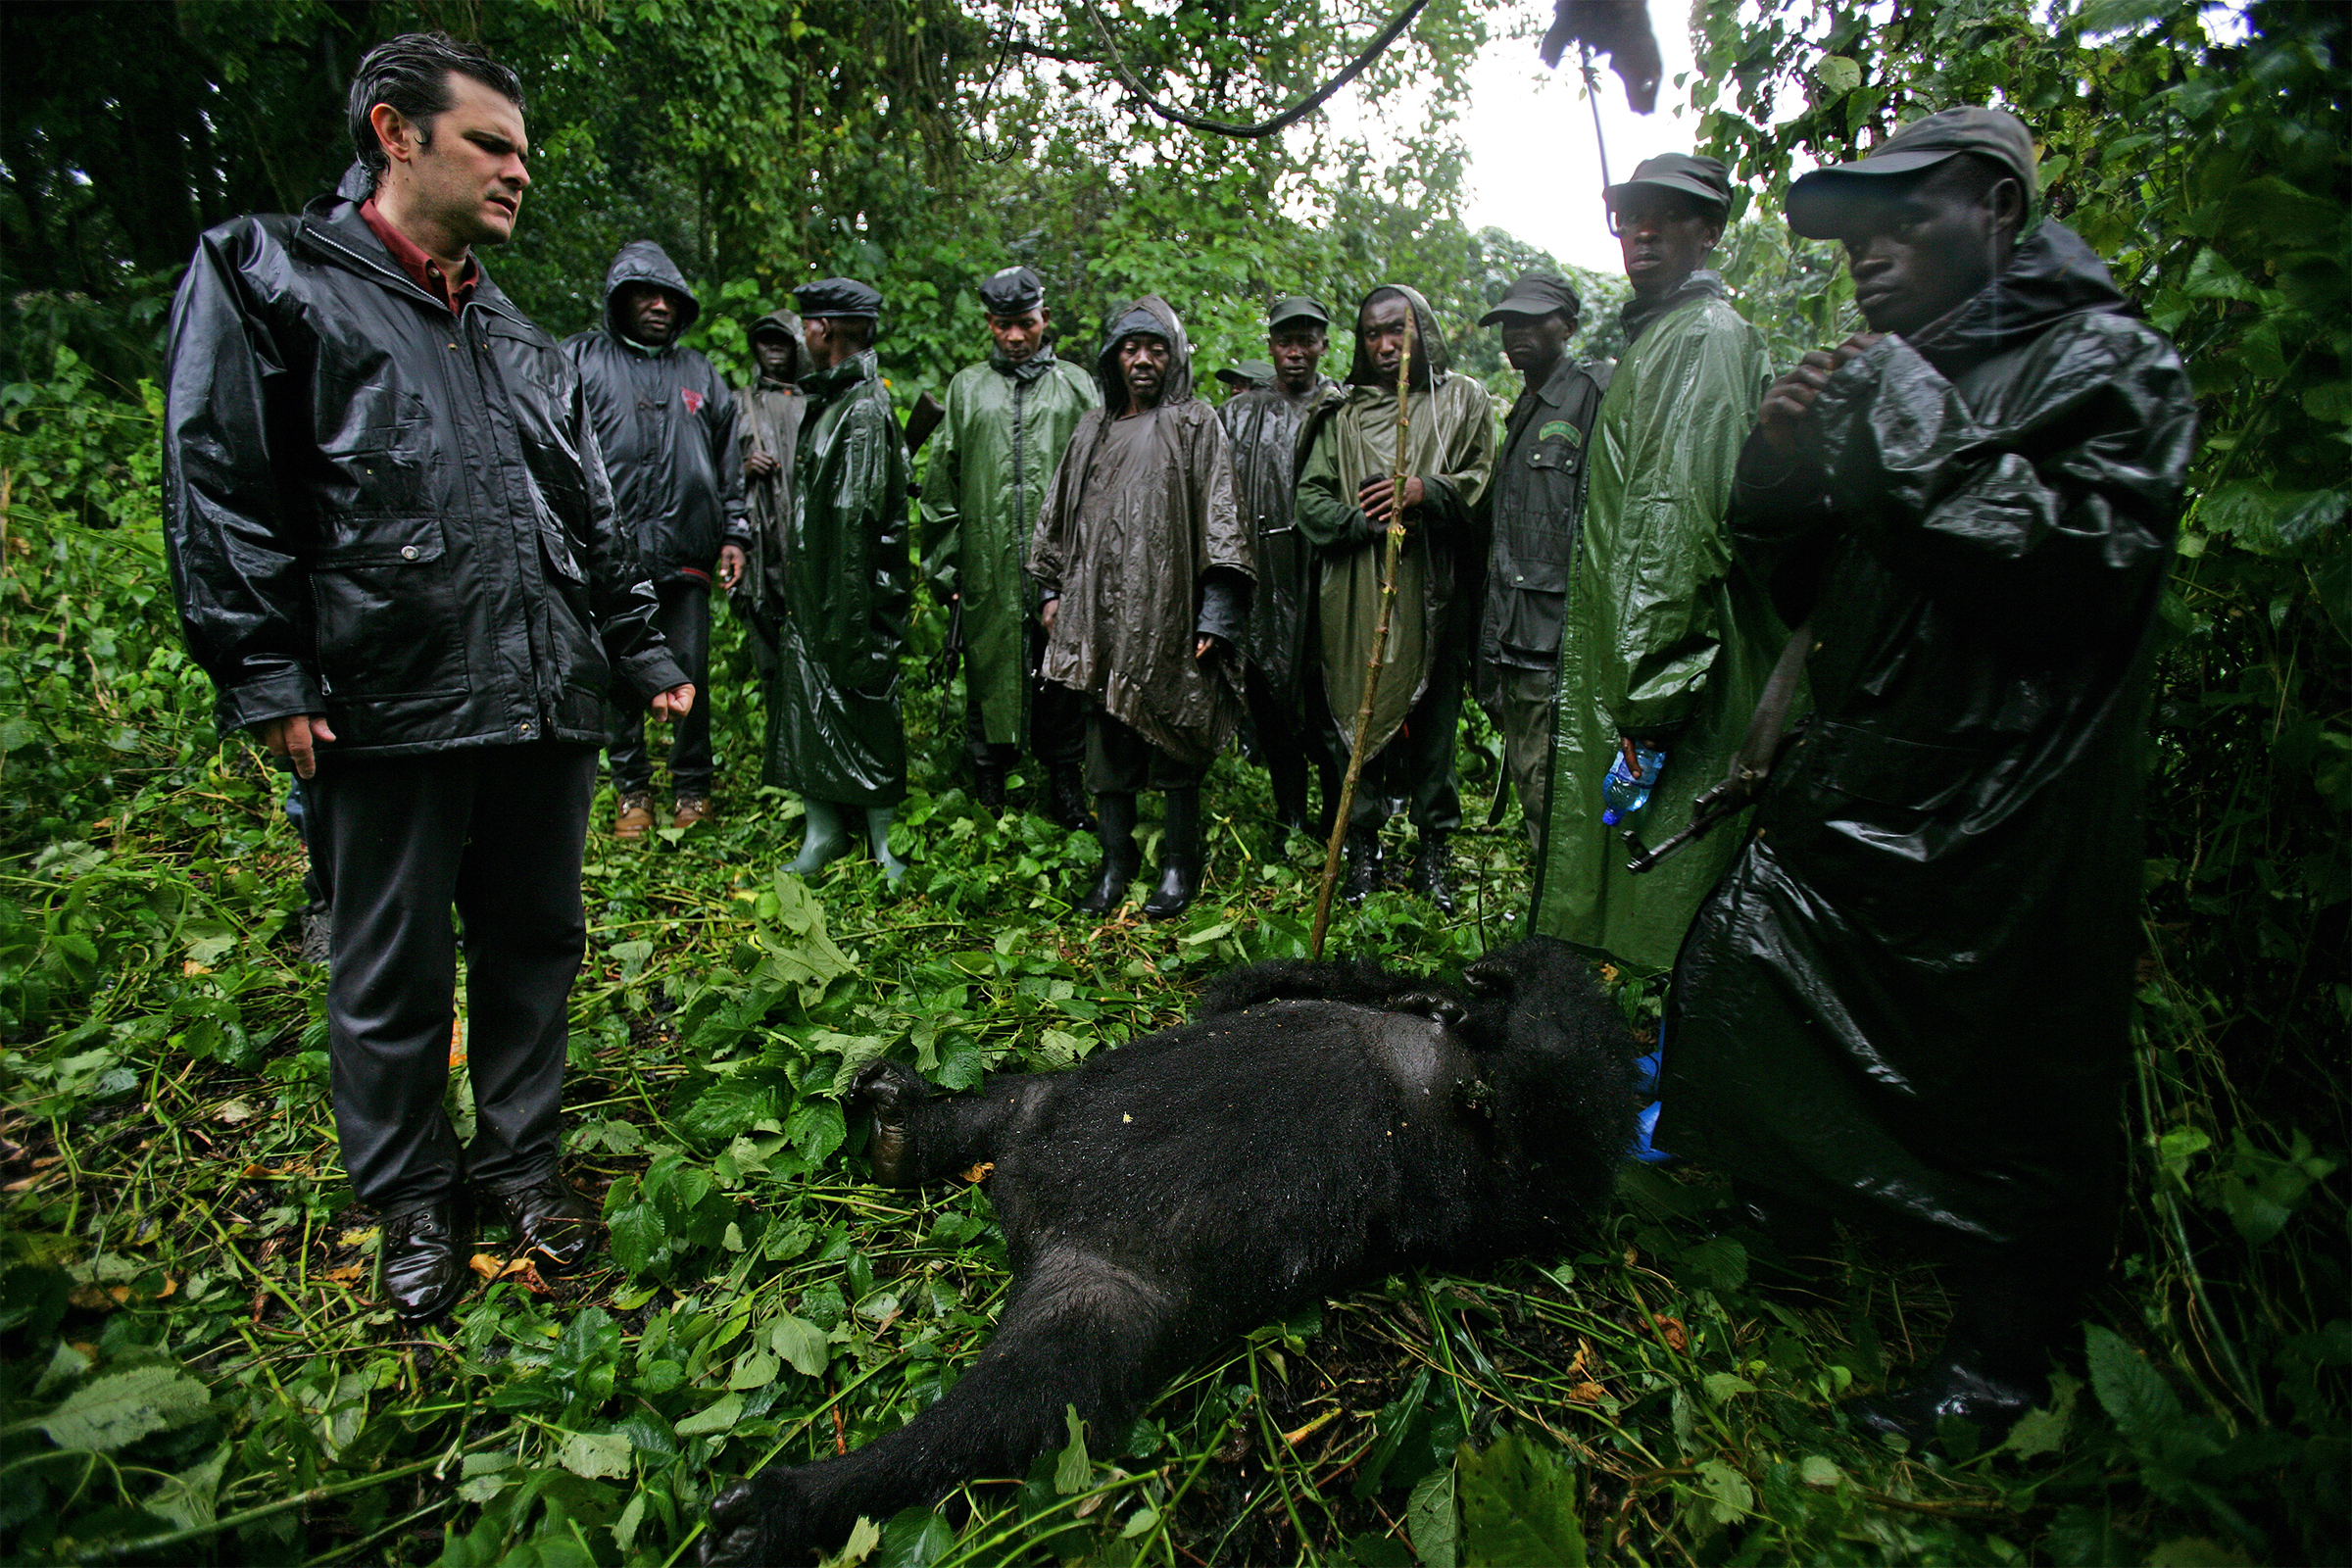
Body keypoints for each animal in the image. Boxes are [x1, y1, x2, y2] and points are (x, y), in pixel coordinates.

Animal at [696, 940, 1637, 1560]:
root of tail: (1025, 1209)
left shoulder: (1530, 1178)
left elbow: (1555, 1127)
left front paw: (1492, 988)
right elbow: (1251, 990)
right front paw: (1446, 989)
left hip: (1104, 1293)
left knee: (1020, 1402)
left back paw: (801, 1503)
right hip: (1048, 1113)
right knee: (1011, 1110)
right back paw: (911, 1130)